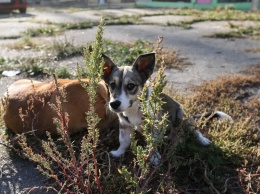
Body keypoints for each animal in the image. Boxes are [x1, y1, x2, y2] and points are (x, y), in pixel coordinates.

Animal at [101, 52, 232, 165]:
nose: (114, 104)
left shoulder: (153, 126)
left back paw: (202, 140)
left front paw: (154, 157)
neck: (134, 108)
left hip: (183, 116)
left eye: (130, 86)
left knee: (195, 130)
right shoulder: (124, 125)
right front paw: (118, 152)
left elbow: (152, 144)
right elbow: (123, 141)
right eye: (112, 85)